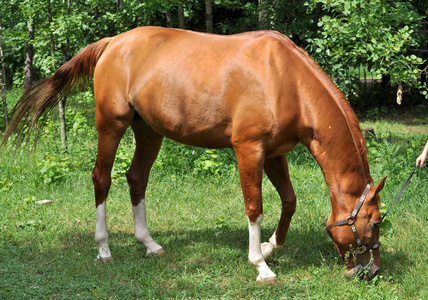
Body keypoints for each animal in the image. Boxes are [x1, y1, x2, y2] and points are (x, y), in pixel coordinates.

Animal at [0, 27, 388, 282]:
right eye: (375, 222)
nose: (369, 271)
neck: (284, 78)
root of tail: (114, 43)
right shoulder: (249, 150)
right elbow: (254, 206)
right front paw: (260, 265)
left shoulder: (275, 153)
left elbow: (289, 201)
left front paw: (268, 248)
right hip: (111, 125)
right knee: (101, 179)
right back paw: (104, 249)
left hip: (149, 131)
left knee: (136, 178)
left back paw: (149, 244)